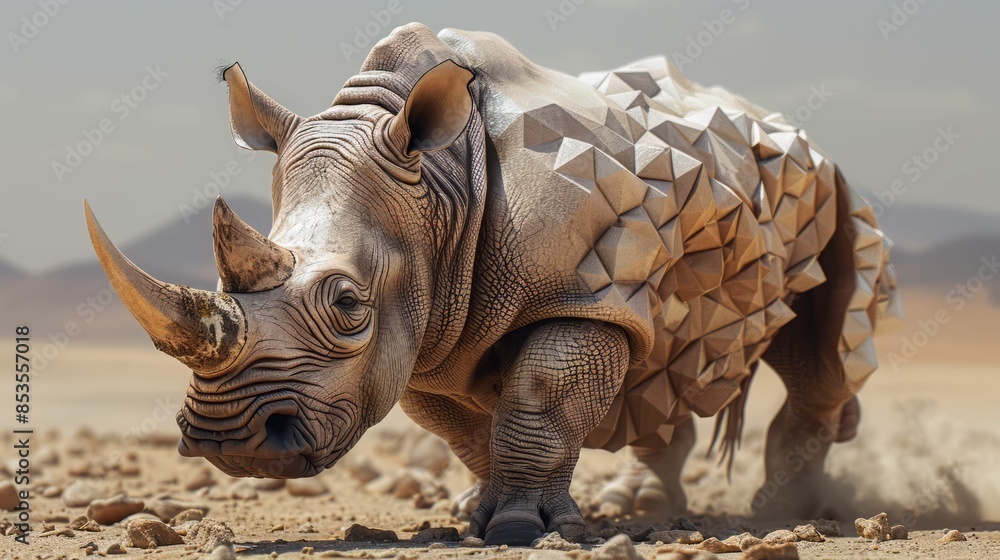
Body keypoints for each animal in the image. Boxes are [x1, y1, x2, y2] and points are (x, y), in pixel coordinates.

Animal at [85, 23, 901, 545]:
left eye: (347, 305)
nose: (234, 446)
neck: (442, 187)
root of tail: (787, 127)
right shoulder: (430, 329)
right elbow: (460, 427)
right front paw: (475, 513)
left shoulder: (580, 294)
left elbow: (541, 398)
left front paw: (522, 529)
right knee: (665, 346)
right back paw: (641, 500)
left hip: (829, 191)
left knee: (821, 348)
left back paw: (782, 508)